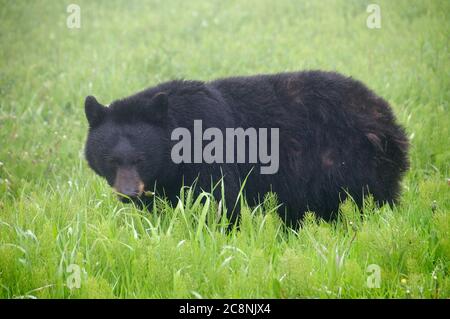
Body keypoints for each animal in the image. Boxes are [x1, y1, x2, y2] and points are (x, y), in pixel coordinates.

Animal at [83, 70, 408, 225]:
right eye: (111, 160)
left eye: (140, 158)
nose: (128, 193)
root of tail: (385, 111)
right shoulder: (163, 182)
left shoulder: (209, 151)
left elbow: (220, 199)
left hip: (355, 160)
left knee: (374, 200)